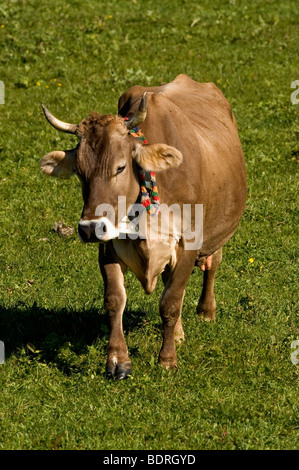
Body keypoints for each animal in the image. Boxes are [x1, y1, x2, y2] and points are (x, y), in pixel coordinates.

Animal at [39, 75, 247, 380]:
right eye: (80, 171)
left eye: (120, 167)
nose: (89, 228)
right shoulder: (109, 245)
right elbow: (115, 300)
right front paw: (118, 360)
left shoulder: (188, 242)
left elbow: (170, 302)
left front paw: (167, 360)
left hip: (217, 228)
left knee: (212, 263)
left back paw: (206, 311)